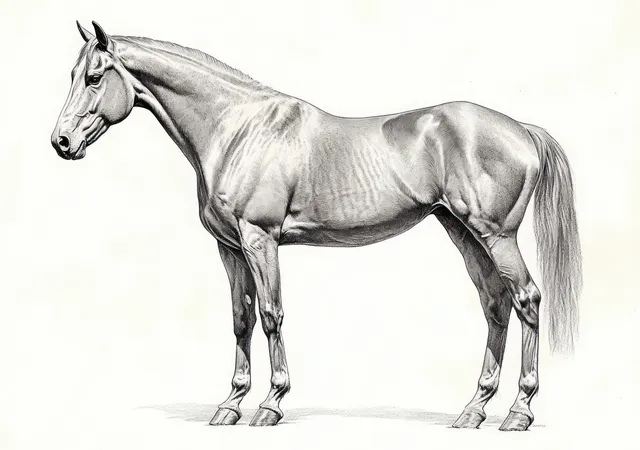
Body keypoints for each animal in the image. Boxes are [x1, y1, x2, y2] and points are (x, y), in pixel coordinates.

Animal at [51, 21, 582, 431]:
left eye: (95, 77)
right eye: (74, 74)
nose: (61, 142)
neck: (236, 129)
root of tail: (521, 130)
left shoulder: (260, 239)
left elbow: (271, 315)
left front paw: (270, 405)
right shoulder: (229, 248)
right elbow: (241, 319)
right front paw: (229, 406)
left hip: (496, 235)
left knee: (526, 299)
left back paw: (519, 412)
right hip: (464, 233)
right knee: (495, 306)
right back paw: (473, 411)